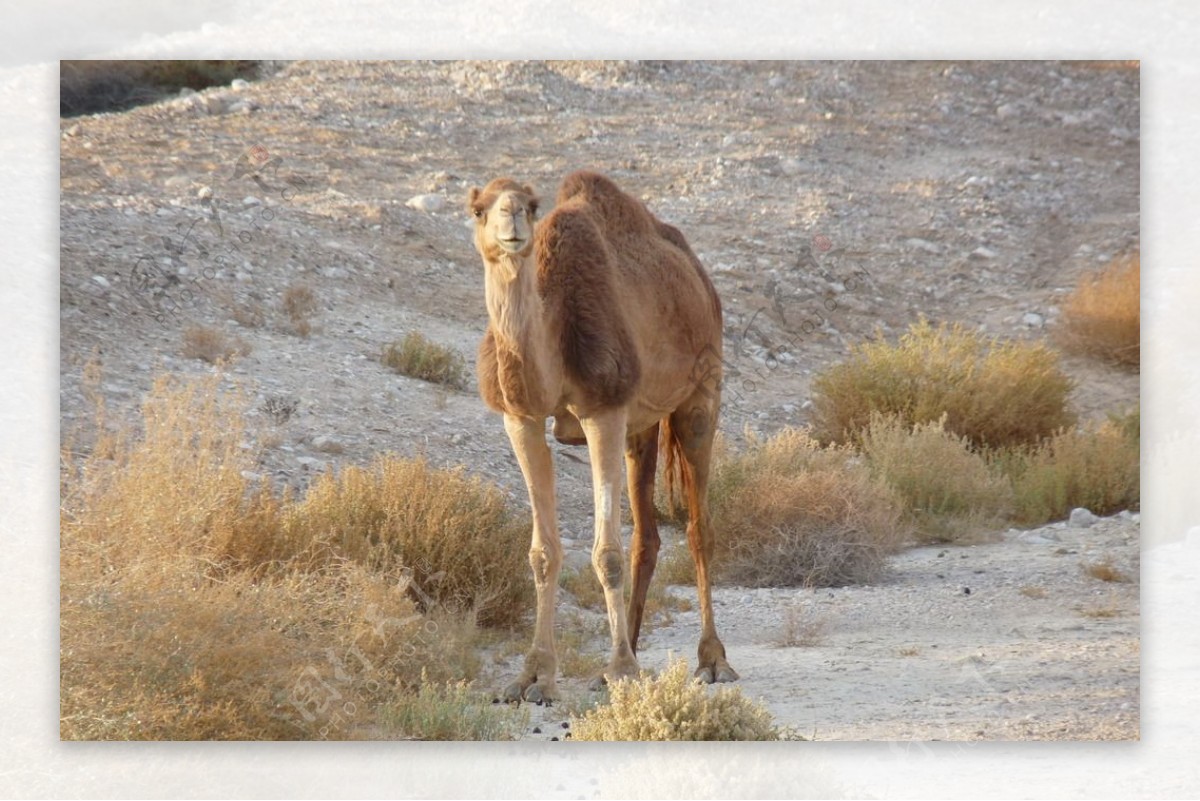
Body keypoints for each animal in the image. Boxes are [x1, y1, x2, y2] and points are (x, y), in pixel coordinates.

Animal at [470, 170, 739, 700]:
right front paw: (533, 676)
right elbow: (543, 552)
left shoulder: (604, 411)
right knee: (647, 535)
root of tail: (699, 275)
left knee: (699, 528)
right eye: (478, 209)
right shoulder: (521, 418)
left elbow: (606, 553)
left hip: (702, 391)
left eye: (532, 205)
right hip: (643, 427)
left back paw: (712, 660)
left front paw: (623, 671)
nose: (511, 219)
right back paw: (625, 650)